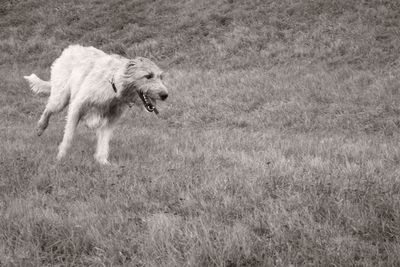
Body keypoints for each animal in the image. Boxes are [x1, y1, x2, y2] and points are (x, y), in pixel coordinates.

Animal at [24, 45, 169, 164]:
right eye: (148, 76)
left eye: (161, 77)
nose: (165, 95)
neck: (113, 86)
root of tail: (70, 49)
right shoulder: (77, 107)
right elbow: (68, 137)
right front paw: (61, 158)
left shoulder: (111, 119)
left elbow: (104, 141)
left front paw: (103, 162)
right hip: (60, 97)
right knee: (49, 108)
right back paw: (41, 127)